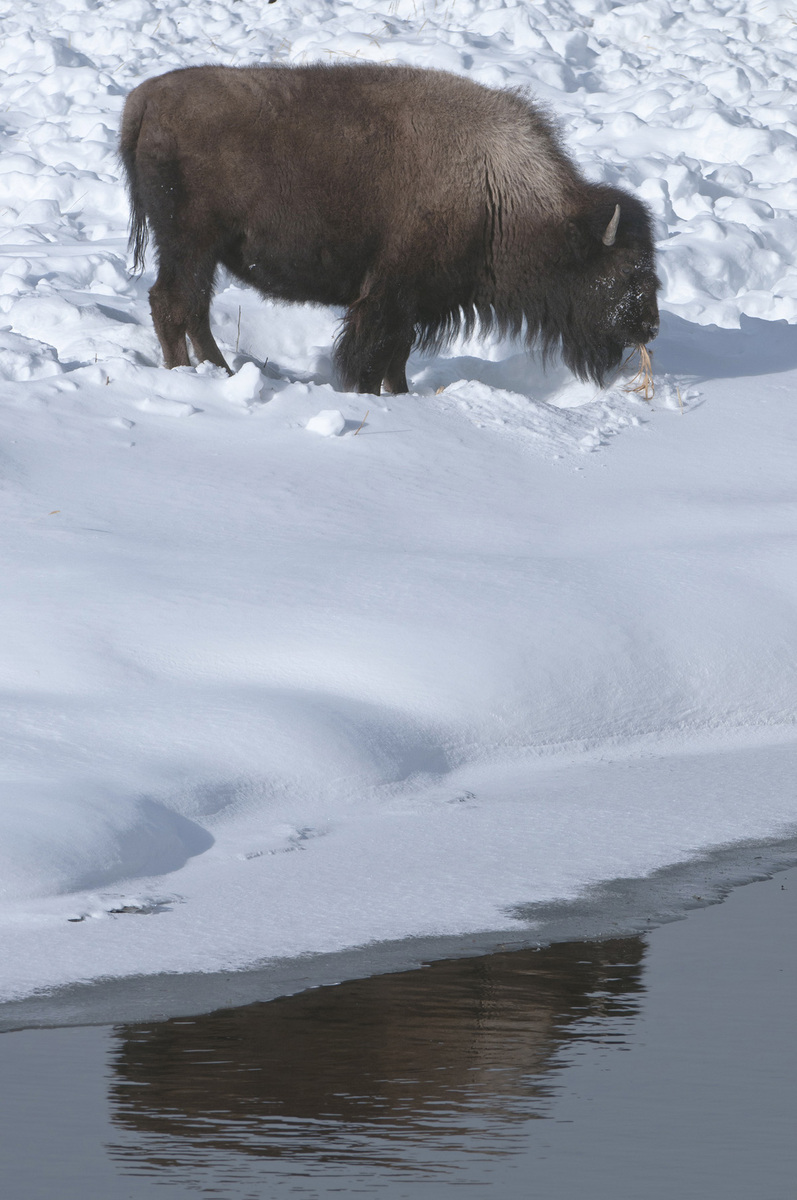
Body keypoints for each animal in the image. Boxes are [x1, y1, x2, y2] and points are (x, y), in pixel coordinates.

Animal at [120, 63, 659, 394]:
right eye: (625, 268)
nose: (650, 325)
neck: (498, 186)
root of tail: (144, 99)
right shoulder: (390, 296)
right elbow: (374, 355)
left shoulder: (415, 303)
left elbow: (396, 358)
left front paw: (399, 395)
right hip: (190, 244)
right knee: (172, 303)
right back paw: (191, 372)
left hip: (201, 253)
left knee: (192, 308)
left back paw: (219, 370)